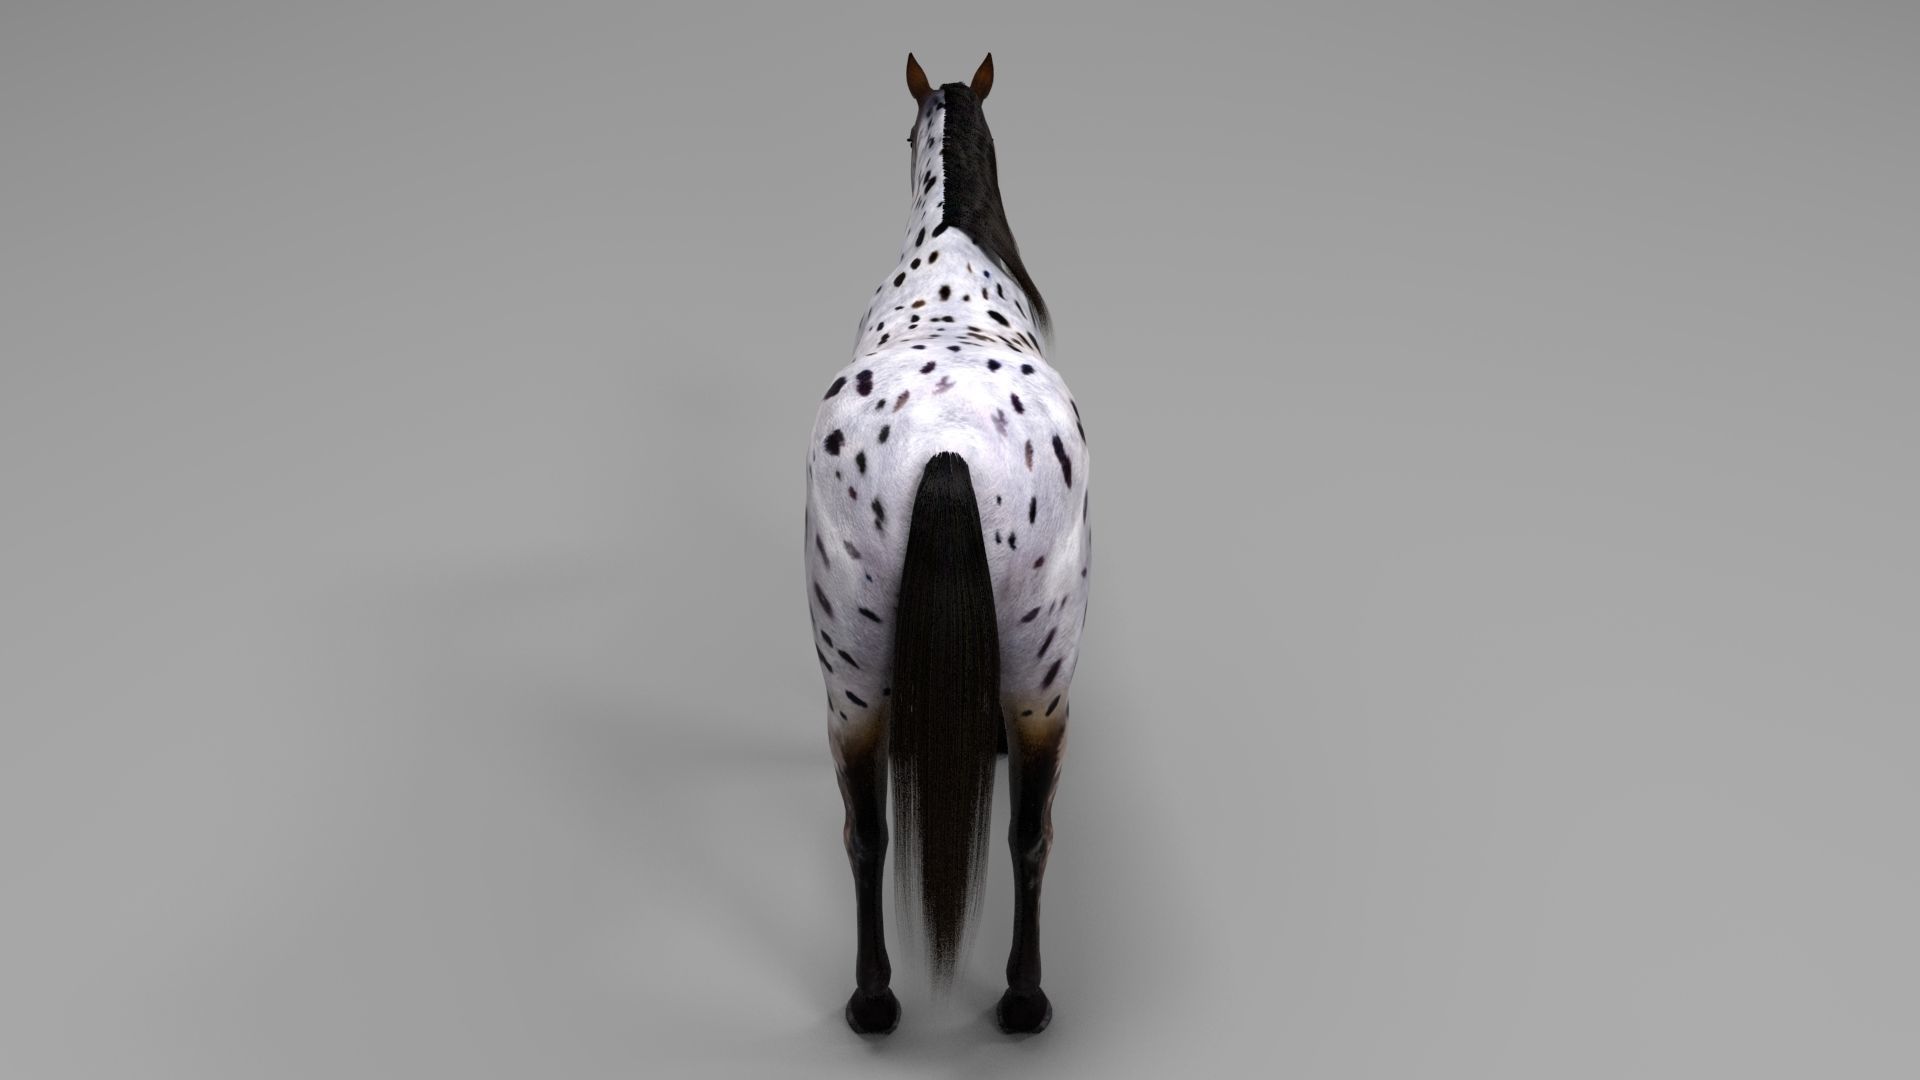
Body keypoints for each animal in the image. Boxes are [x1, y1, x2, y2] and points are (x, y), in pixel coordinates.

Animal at [803, 53, 1091, 1036]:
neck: (953, 252)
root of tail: (948, 442)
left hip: (857, 678)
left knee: (873, 832)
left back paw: (880, 999)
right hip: (1038, 681)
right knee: (1027, 834)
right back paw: (1016, 1001)